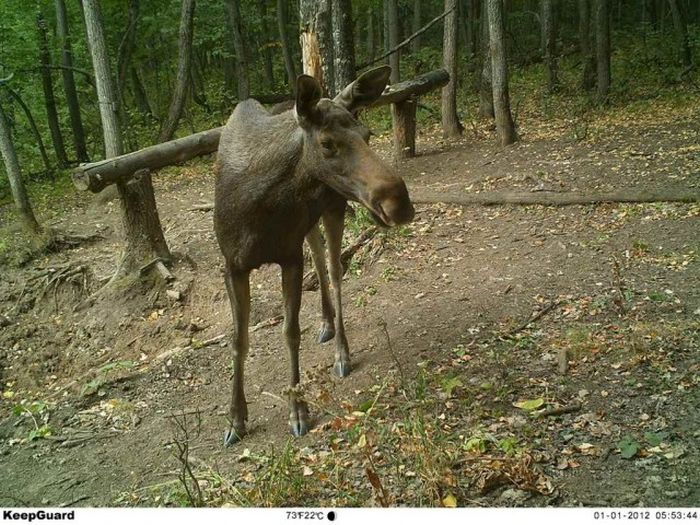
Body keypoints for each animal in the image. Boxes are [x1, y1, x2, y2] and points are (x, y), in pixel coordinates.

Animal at [212, 64, 410, 442]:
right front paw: (235, 420)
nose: (400, 203)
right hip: (310, 222)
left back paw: (342, 352)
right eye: (327, 143)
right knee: (318, 260)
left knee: (333, 271)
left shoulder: (289, 256)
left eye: (367, 134)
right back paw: (326, 323)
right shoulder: (232, 265)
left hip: (334, 207)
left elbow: (290, 333)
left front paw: (298, 410)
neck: (260, 207)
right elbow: (238, 340)